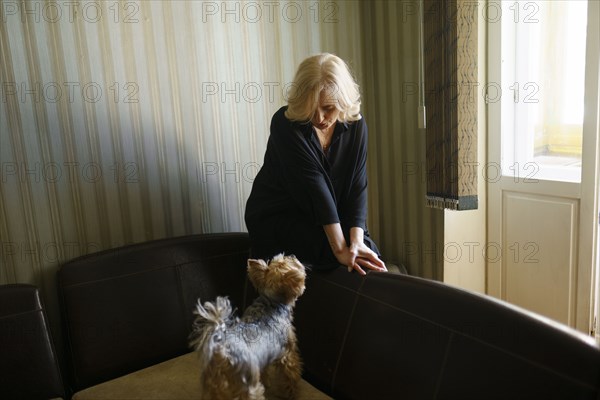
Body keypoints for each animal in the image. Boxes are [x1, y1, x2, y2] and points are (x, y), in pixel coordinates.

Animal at [190, 255, 308, 398]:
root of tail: (220, 350)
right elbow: (291, 373)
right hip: (246, 383)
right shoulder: (287, 352)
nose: (293, 256)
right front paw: (291, 393)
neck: (271, 300)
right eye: (286, 260)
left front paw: (267, 382)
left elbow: (265, 371)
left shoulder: (264, 357)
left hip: (215, 383)